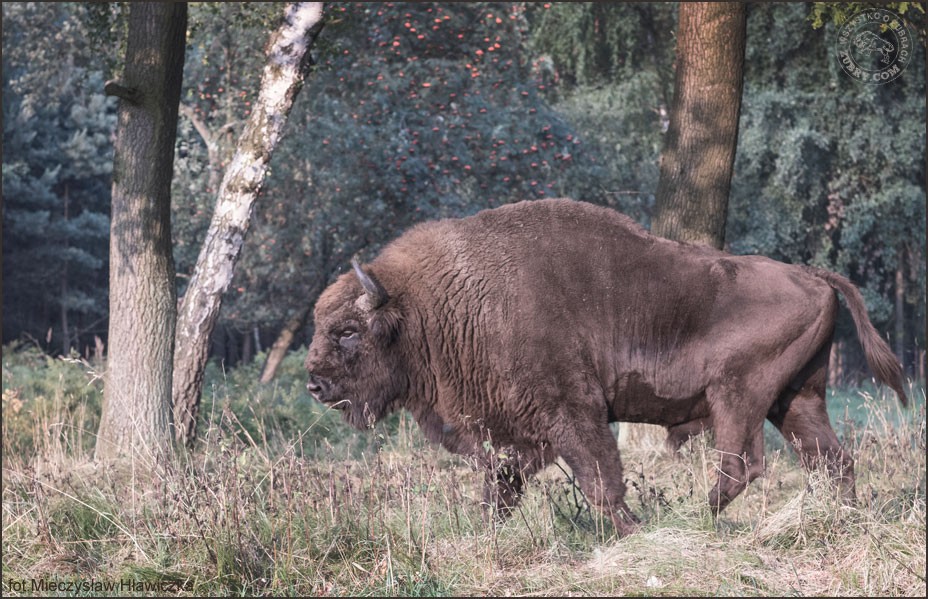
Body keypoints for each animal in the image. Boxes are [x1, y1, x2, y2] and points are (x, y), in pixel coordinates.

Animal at [306, 199, 908, 536]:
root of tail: (813, 275)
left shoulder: (572, 409)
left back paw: (691, 518)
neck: (437, 305)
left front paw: (630, 530)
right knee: (832, 460)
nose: (314, 384)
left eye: (349, 331)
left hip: (737, 397)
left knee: (743, 466)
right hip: (797, 400)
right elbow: (500, 488)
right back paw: (843, 521)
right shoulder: (511, 433)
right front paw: (484, 535)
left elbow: (600, 479)